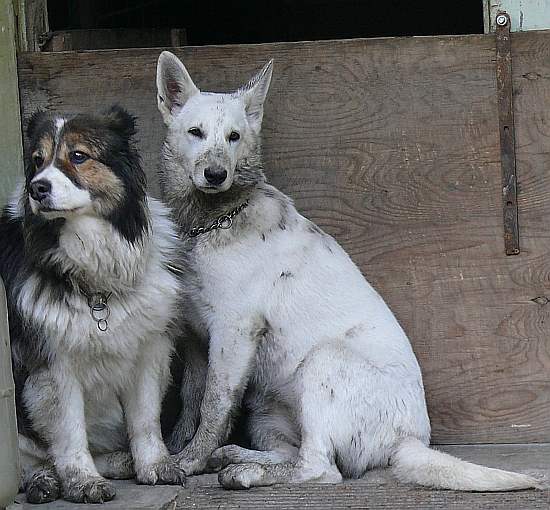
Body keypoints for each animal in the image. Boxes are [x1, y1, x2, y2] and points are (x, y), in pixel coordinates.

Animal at [156, 50, 544, 490]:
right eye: (196, 133)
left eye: (234, 137)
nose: (216, 175)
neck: (212, 222)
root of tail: (407, 440)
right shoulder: (195, 339)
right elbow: (191, 402)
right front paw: (177, 450)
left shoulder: (233, 332)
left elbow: (214, 406)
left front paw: (190, 461)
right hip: (265, 409)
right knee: (292, 454)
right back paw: (238, 457)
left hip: (322, 361)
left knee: (320, 468)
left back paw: (244, 472)